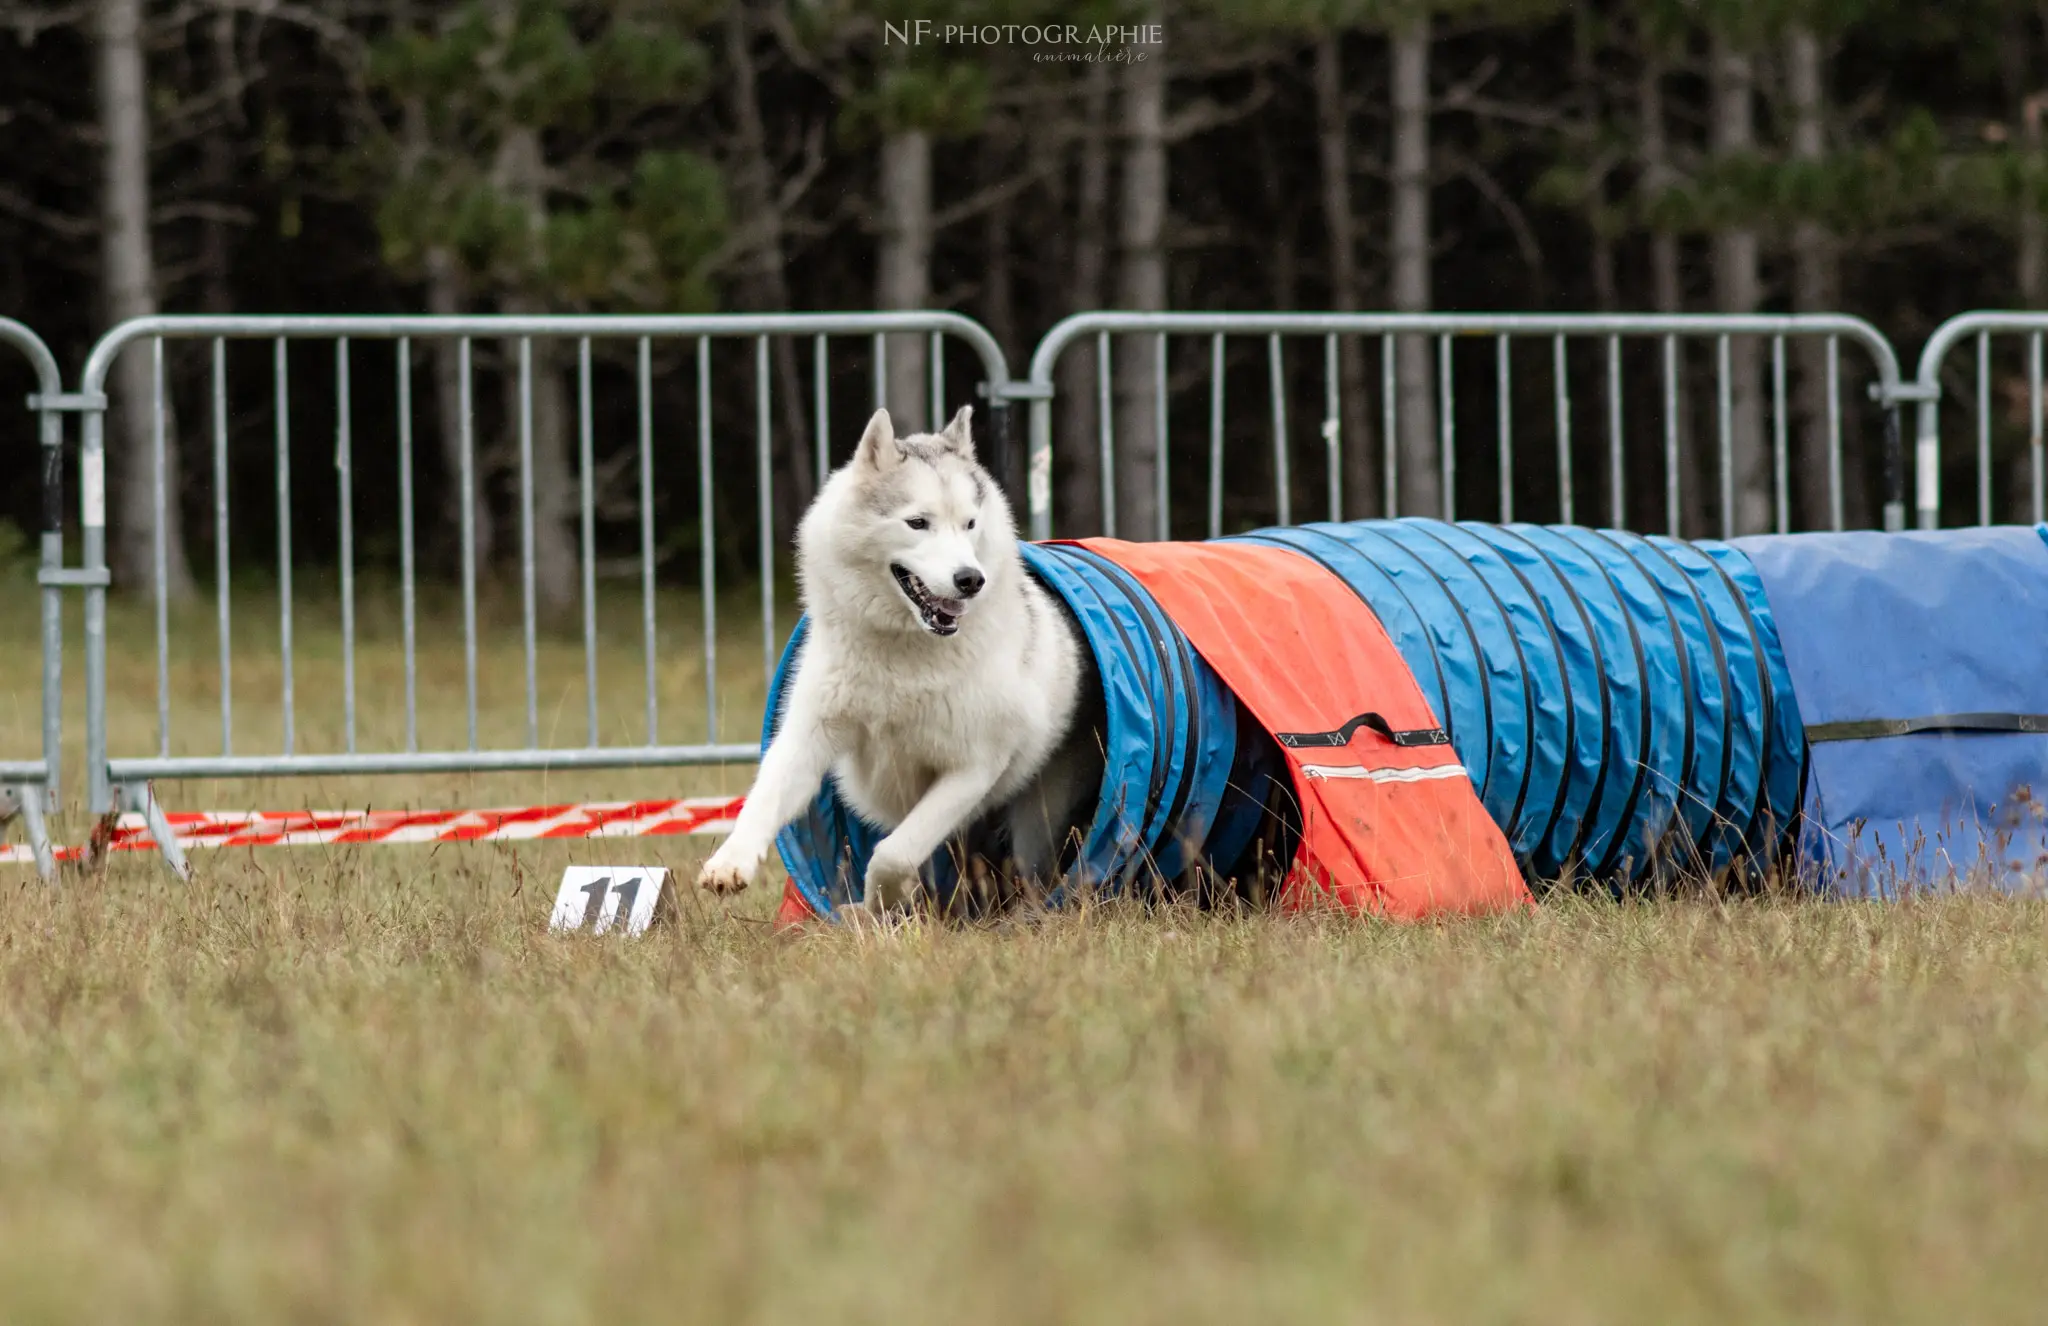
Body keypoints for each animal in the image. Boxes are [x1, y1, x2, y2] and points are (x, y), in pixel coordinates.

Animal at [696, 409, 1097, 918]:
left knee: (1031, 874)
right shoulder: (808, 735)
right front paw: (730, 863)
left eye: (969, 523)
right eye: (917, 522)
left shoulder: (972, 769)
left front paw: (877, 904)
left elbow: (893, 853)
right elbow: (763, 797)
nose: (971, 580)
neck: (902, 652)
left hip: (1036, 821)